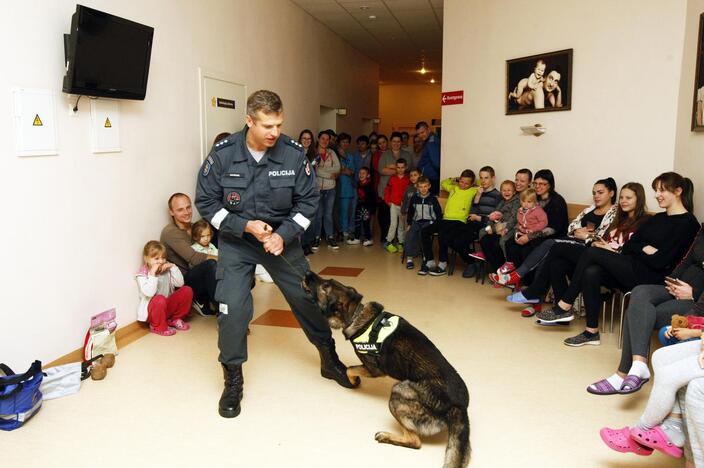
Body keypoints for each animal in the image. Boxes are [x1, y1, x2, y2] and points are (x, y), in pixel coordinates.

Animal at [302, 270, 470, 468]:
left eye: (325, 287)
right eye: (327, 281)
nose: (307, 272)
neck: (357, 315)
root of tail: (459, 407)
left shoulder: (374, 370)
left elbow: (351, 369)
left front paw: (352, 380)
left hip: (398, 392)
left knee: (415, 442)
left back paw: (386, 436)